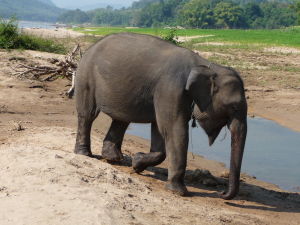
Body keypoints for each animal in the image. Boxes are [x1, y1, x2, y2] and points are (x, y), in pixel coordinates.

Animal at [74, 32, 247, 200]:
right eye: (234, 106)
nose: (221, 193)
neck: (206, 65)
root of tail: (89, 48)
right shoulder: (171, 89)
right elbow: (173, 130)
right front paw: (179, 192)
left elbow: (159, 130)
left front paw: (137, 163)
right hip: (85, 76)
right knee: (88, 115)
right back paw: (85, 154)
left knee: (121, 120)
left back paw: (114, 159)